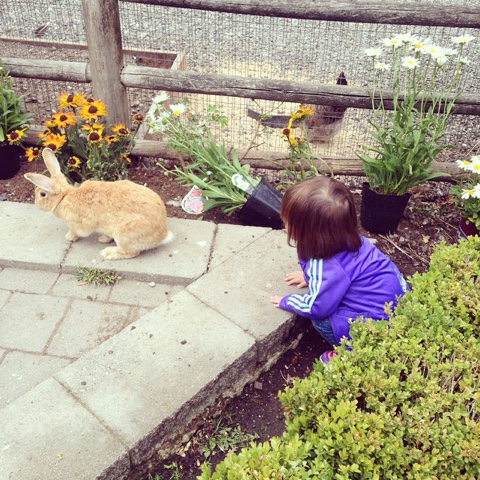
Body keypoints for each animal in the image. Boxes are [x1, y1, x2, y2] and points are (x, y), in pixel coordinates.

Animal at [24, 148, 173, 260]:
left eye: (42, 194)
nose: (36, 203)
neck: (64, 197)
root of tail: (163, 235)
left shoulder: (76, 224)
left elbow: (76, 232)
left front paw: (69, 238)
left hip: (124, 234)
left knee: (131, 252)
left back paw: (107, 252)